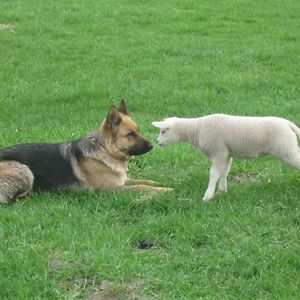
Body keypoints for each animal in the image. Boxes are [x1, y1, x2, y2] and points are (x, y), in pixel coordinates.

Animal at [0, 99, 172, 204]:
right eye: (130, 134)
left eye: (138, 131)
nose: (152, 145)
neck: (105, 150)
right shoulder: (112, 190)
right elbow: (142, 187)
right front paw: (166, 190)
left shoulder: (122, 180)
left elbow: (147, 181)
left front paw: (165, 183)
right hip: (25, 171)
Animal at [152, 115, 300, 202]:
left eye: (163, 131)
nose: (157, 142)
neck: (197, 128)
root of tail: (289, 124)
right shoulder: (226, 153)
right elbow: (224, 172)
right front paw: (222, 191)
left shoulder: (218, 152)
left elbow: (213, 173)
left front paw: (208, 196)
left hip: (286, 148)